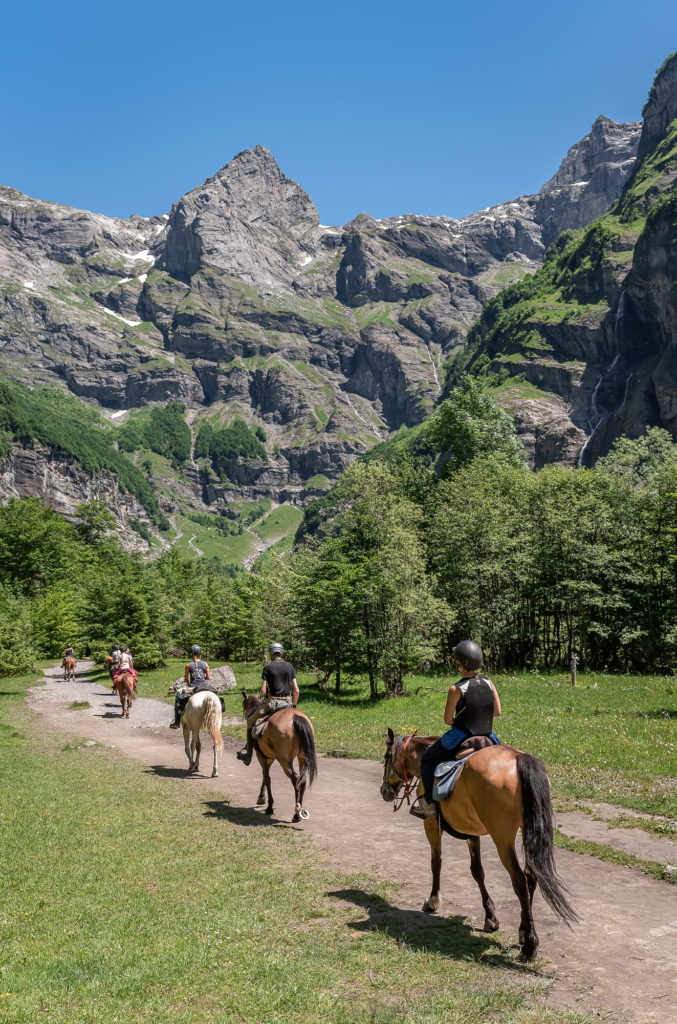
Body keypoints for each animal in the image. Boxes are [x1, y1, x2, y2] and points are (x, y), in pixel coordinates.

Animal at [241, 688, 317, 823]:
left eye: (243, 704)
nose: (245, 715)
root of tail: (296, 718)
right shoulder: (269, 757)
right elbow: (264, 776)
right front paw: (262, 798)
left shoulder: (262, 757)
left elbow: (267, 778)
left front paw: (269, 806)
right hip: (302, 757)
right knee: (302, 780)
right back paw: (299, 812)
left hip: (285, 761)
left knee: (295, 779)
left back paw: (296, 814)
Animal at [381, 729, 577, 958]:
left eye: (386, 757)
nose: (384, 791)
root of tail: (519, 758)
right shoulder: (471, 830)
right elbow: (477, 871)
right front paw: (490, 917)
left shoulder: (431, 825)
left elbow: (436, 863)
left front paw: (433, 900)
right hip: (527, 829)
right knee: (531, 876)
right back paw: (523, 931)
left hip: (502, 838)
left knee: (519, 880)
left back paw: (529, 945)